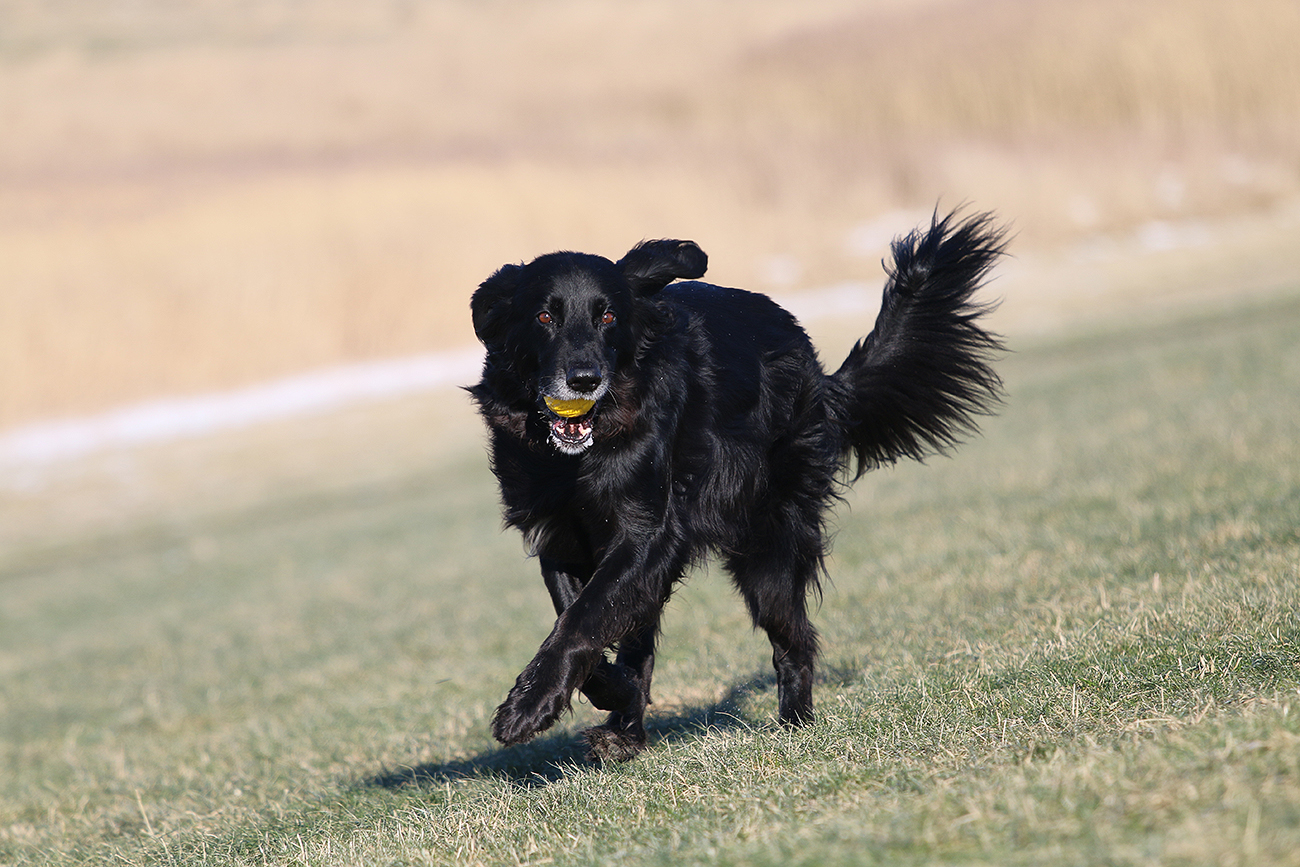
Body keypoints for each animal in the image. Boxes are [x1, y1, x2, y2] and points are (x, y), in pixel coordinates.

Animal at [468, 210, 1006, 761]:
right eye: (544, 317)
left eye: (608, 317)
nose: (583, 379)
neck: (578, 456)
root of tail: (819, 374)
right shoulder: (561, 535)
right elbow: (580, 620)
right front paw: (600, 692)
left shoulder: (647, 533)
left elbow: (583, 621)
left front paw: (526, 708)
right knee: (642, 639)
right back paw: (625, 729)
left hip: (771, 546)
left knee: (795, 640)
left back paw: (795, 724)